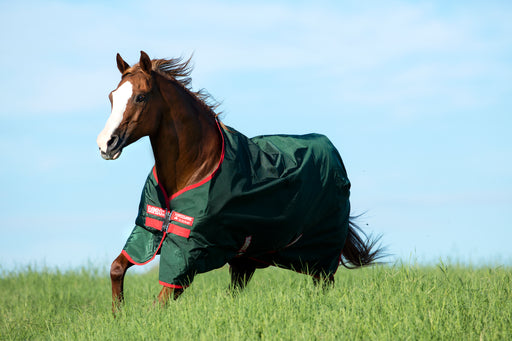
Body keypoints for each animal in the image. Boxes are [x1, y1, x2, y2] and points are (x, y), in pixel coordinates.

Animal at [98, 49, 382, 312]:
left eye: (141, 97)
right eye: (112, 96)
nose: (105, 144)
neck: (196, 166)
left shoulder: (191, 249)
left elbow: (161, 301)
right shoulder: (148, 230)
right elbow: (116, 268)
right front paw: (117, 315)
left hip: (320, 255)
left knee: (324, 284)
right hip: (248, 259)